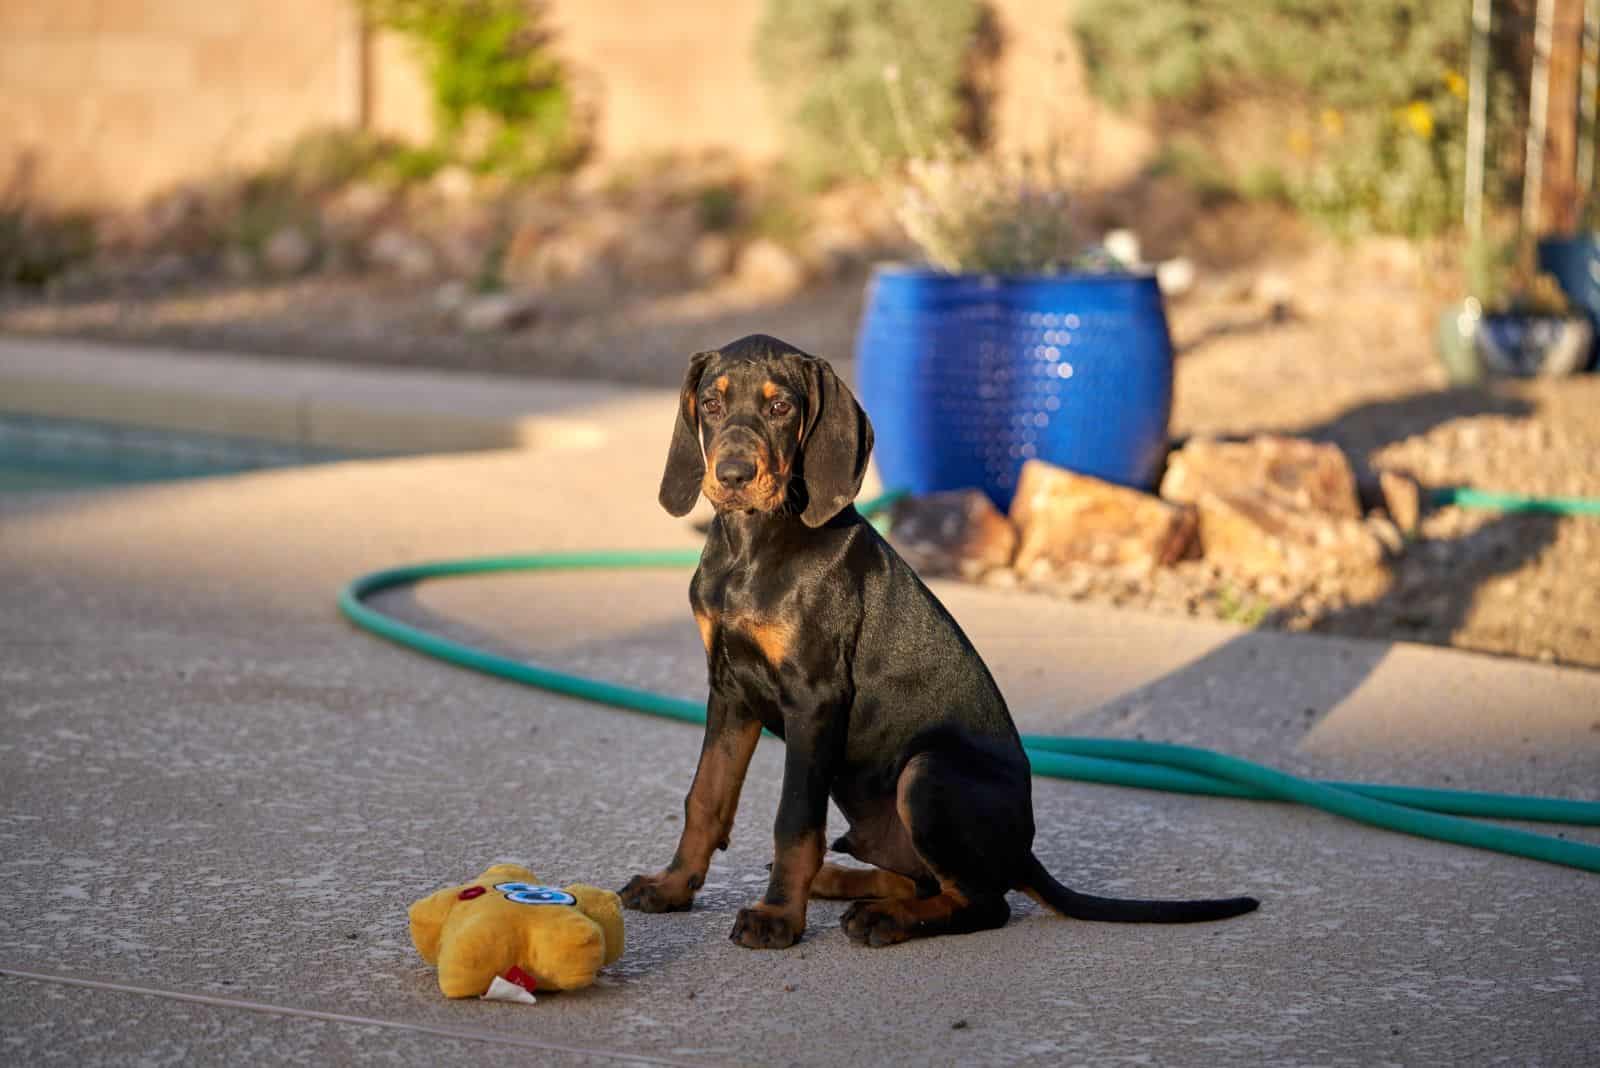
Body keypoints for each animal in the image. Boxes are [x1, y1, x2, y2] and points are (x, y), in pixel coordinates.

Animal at [617, 335, 1254, 952]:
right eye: (710, 403)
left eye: (780, 408)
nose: (731, 475)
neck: (753, 546)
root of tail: (1023, 852)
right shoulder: (730, 688)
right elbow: (705, 798)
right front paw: (671, 885)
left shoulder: (813, 697)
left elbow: (793, 818)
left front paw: (776, 918)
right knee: (920, 877)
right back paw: (842, 884)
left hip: (926, 772)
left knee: (983, 903)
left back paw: (884, 919)